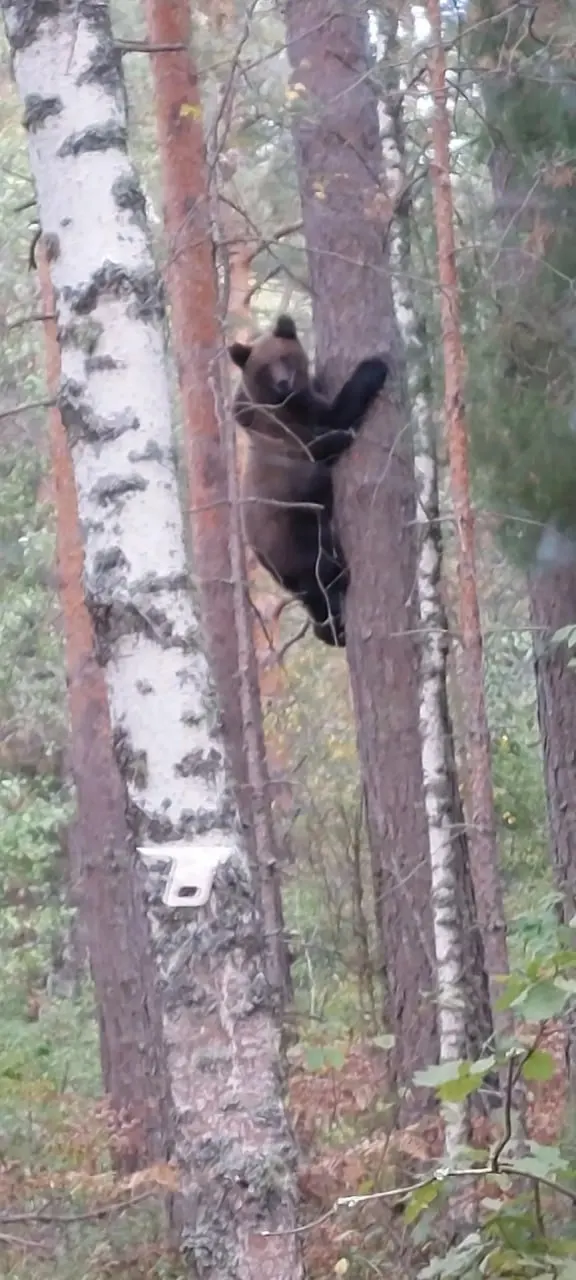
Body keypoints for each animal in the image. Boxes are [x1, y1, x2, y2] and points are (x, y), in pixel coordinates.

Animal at [228, 314, 388, 646]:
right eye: (265, 367)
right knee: (323, 571)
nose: (283, 382)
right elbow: (336, 419)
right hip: (295, 531)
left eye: (285, 358)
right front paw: (373, 366)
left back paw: (330, 628)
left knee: (313, 594)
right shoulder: (294, 429)